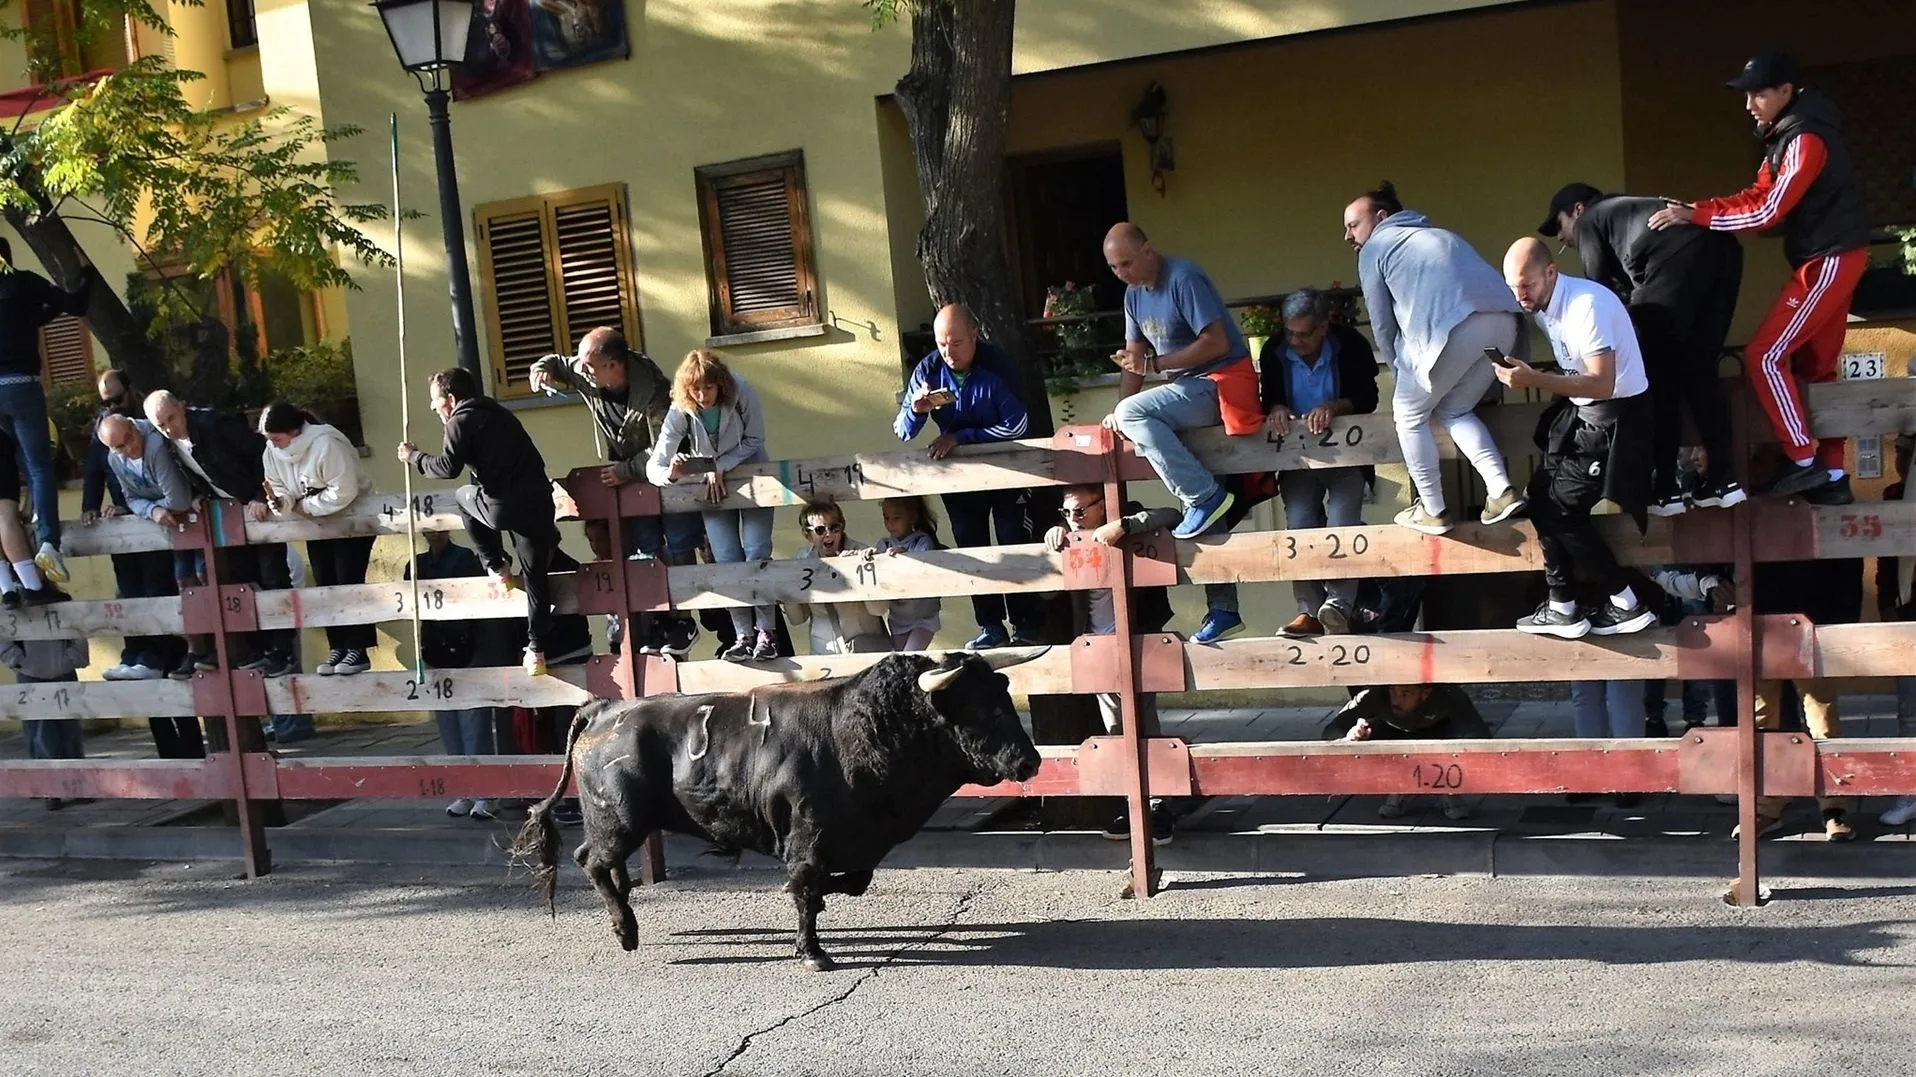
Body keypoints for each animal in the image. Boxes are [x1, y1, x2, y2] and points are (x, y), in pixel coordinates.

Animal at [517, 651, 1042, 969]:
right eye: (977, 708)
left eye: (1003, 696)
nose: (1030, 761)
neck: (864, 730)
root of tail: (604, 710)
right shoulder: (809, 837)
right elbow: (806, 888)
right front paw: (812, 951)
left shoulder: (854, 843)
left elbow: (849, 882)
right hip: (618, 820)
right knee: (592, 861)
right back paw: (625, 929)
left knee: (602, 864)